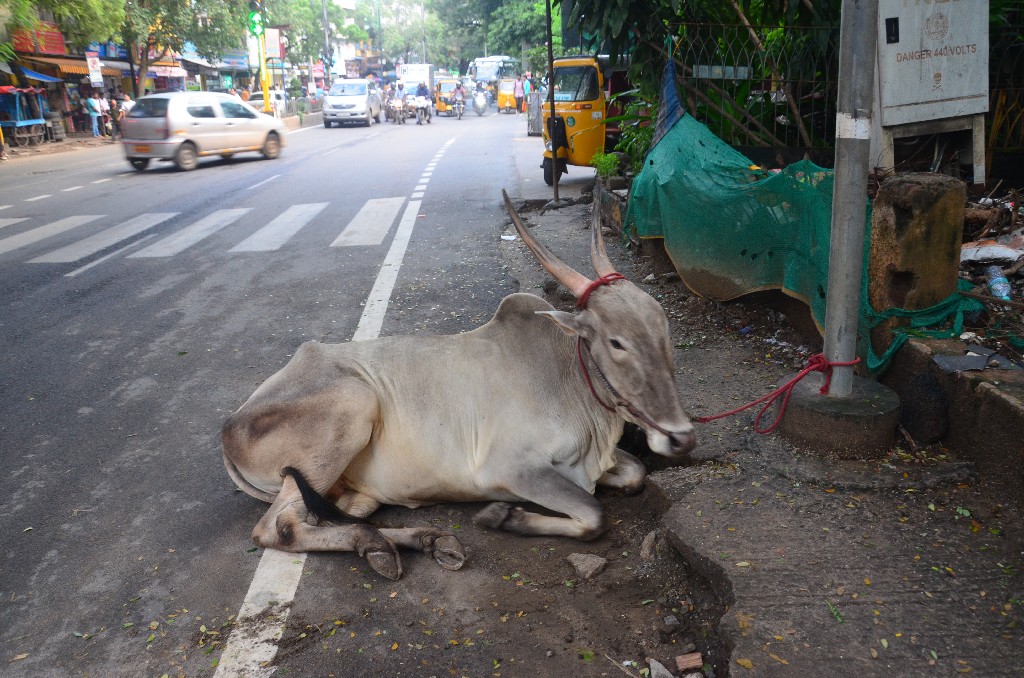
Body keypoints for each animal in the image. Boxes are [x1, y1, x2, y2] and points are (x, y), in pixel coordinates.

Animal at [223, 189, 696, 577]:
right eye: (617, 342)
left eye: (665, 329)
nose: (681, 437)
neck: (567, 377)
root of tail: (231, 424)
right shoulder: (511, 468)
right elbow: (594, 514)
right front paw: (502, 517)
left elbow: (634, 474)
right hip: (350, 411)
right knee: (279, 528)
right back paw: (379, 546)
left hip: (354, 485)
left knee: (343, 514)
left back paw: (425, 541)